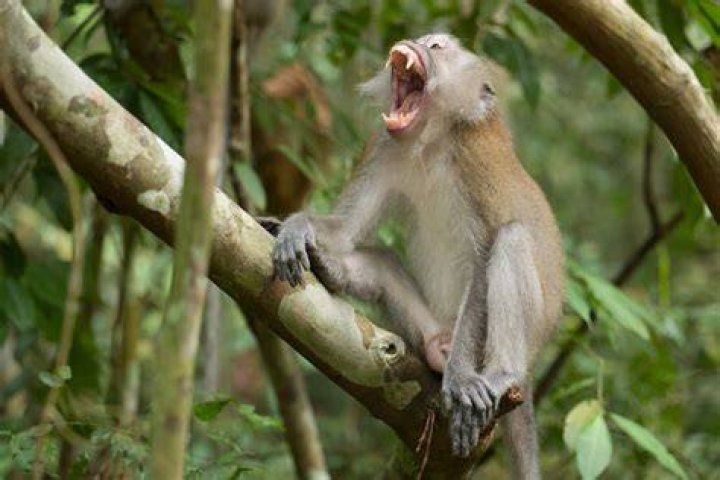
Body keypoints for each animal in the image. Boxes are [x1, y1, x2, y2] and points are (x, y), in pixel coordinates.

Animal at [272, 33, 564, 478]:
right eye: (426, 39)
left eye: (438, 46)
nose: (414, 42)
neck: (432, 141)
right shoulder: (383, 146)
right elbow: (346, 231)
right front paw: (296, 228)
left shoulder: (474, 158)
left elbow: (483, 260)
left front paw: (460, 379)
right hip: (432, 326)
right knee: (383, 260)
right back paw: (332, 270)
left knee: (511, 239)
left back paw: (499, 373)